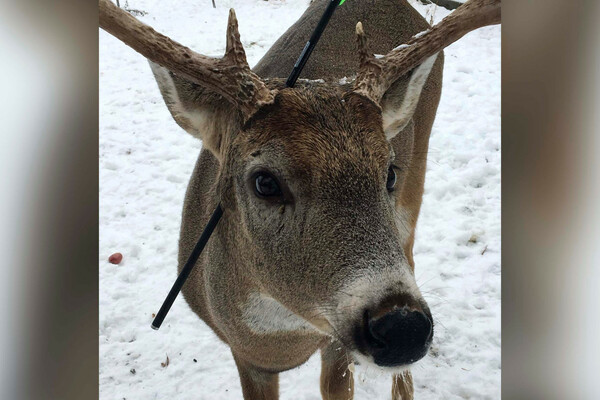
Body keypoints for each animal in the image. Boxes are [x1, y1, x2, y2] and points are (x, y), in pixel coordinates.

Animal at [101, 0, 500, 396]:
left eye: (389, 173)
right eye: (264, 182)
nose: (403, 327)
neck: (285, 341)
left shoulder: (335, 345)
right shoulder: (247, 357)